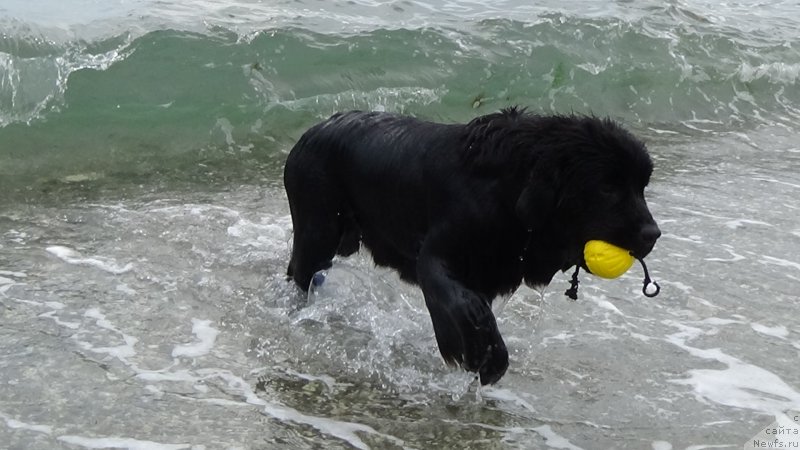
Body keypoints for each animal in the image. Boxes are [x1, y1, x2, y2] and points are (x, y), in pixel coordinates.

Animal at [284, 107, 660, 384]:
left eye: (641, 187)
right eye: (607, 188)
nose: (653, 234)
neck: (511, 188)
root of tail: (309, 132)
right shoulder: (435, 257)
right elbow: (463, 304)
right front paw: (480, 356)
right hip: (318, 230)